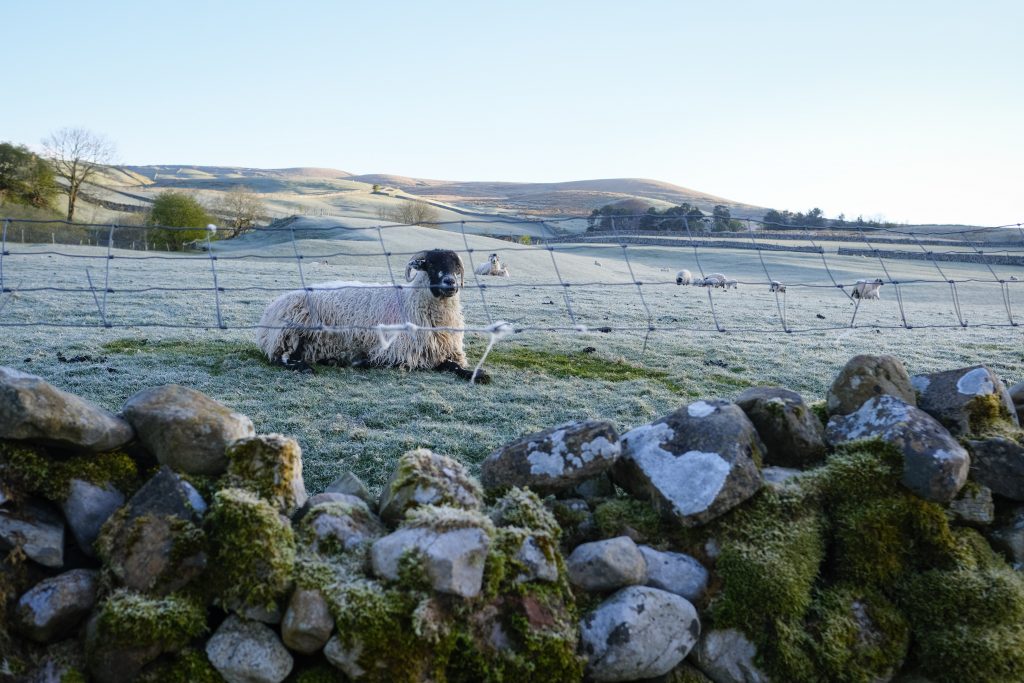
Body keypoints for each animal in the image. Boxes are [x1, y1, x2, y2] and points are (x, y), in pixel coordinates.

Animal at [256, 249, 488, 382]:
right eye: (430, 264)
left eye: (456, 266)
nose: (450, 283)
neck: (411, 301)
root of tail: (270, 310)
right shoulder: (400, 353)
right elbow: (444, 365)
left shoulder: (447, 351)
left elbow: (456, 365)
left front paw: (477, 374)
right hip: (290, 331)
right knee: (282, 358)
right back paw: (309, 368)